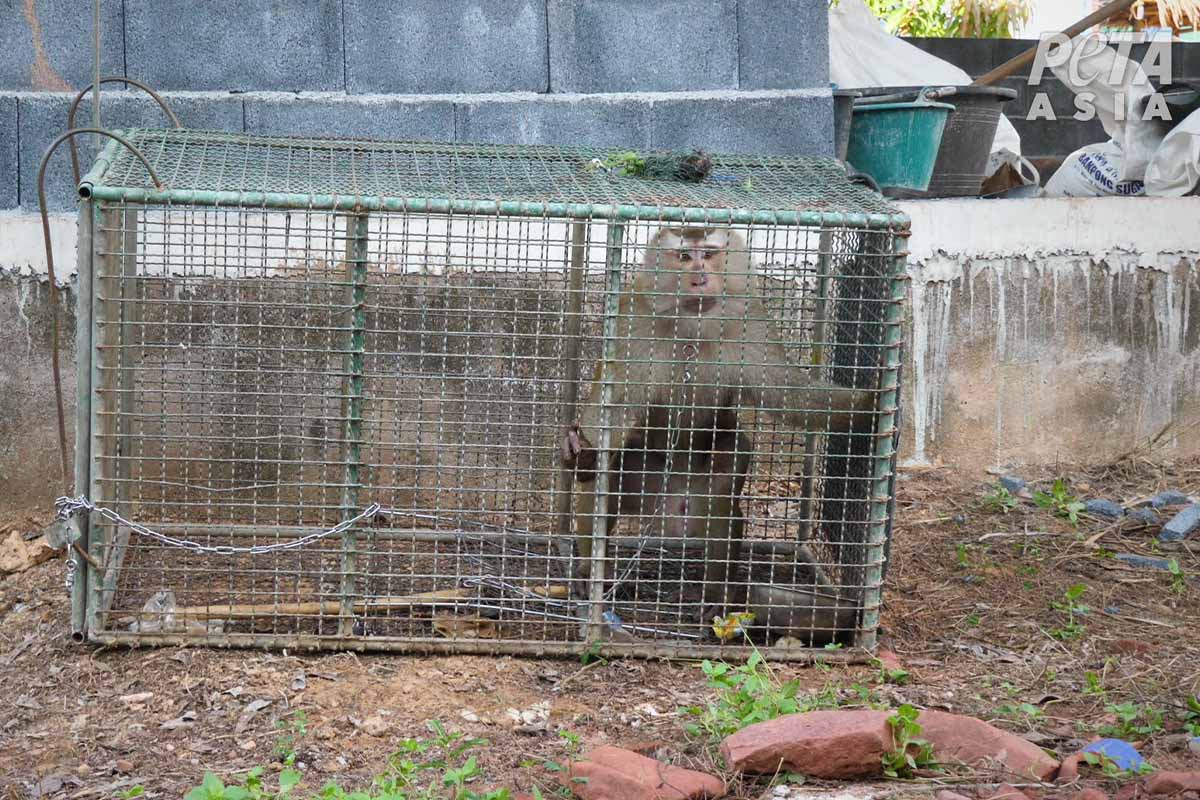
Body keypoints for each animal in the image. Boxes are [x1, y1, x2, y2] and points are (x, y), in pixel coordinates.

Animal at [561, 225, 873, 623]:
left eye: (708, 253)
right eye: (683, 257)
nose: (699, 277)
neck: (693, 325)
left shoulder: (750, 323)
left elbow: (789, 391)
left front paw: (872, 403)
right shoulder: (636, 318)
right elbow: (613, 400)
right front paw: (581, 455)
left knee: (721, 494)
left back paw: (715, 594)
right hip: (642, 473)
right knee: (606, 478)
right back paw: (591, 571)